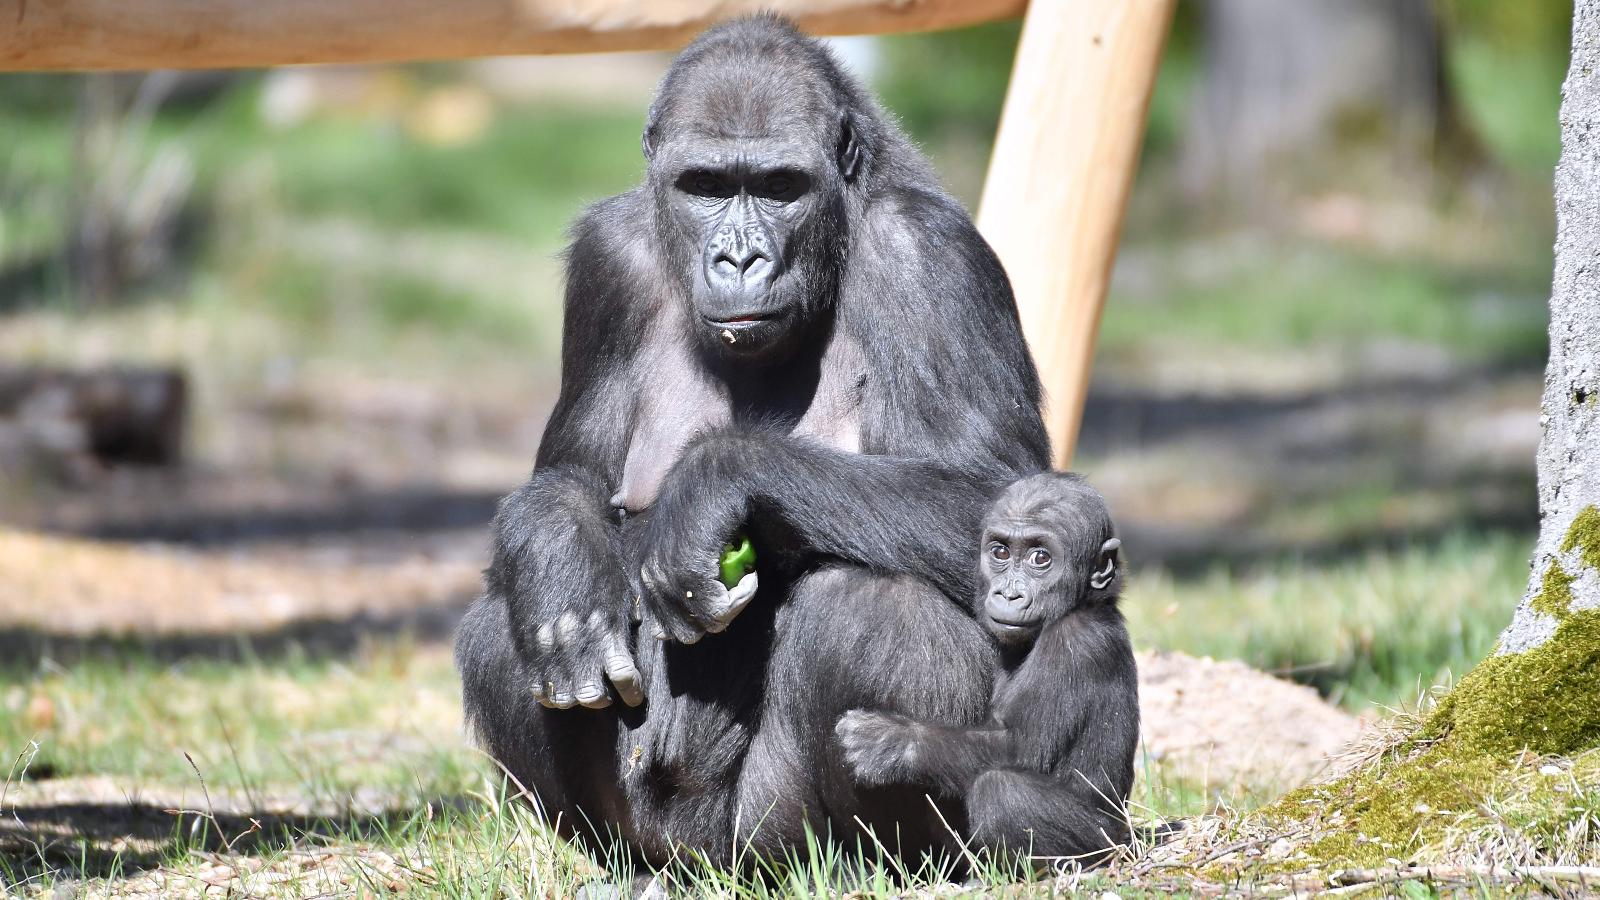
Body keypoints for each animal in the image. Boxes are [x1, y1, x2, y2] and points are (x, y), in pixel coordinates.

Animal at [454, 14, 1049, 864]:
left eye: (778, 187)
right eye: (705, 186)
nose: (739, 257)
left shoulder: (928, 253)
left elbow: (1002, 498)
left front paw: (715, 480)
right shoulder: (609, 260)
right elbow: (569, 478)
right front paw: (562, 565)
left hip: (767, 834)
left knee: (876, 610)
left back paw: (888, 862)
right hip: (659, 836)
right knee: (499, 623)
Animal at [838, 474, 1139, 864]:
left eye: (1040, 558)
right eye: (1000, 553)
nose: (1008, 594)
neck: (1084, 603)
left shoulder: (1079, 642)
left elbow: (1022, 748)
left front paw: (891, 742)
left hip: (1103, 842)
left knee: (1000, 792)